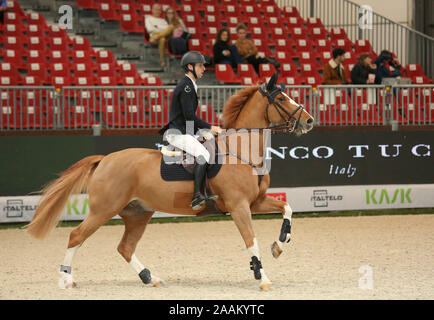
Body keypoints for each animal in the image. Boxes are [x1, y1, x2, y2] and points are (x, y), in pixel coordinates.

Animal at [26, 74, 312, 292]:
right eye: (282, 99)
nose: (309, 121)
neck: (241, 152)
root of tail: (105, 159)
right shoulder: (239, 206)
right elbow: (251, 241)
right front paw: (262, 278)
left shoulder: (256, 202)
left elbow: (287, 209)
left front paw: (279, 244)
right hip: (103, 210)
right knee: (76, 236)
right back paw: (66, 280)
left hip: (138, 213)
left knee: (125, 247)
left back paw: (150, 278)